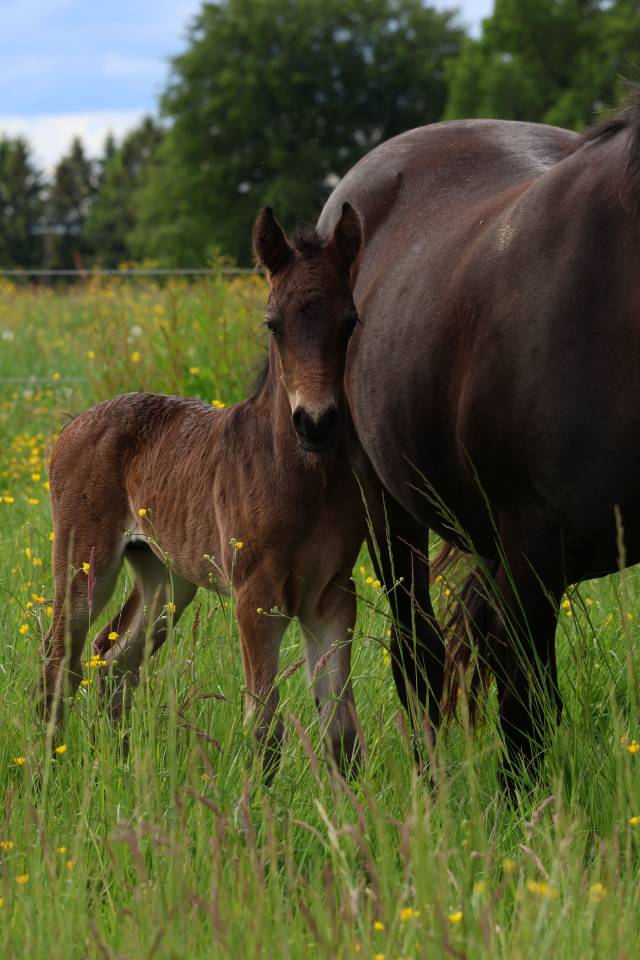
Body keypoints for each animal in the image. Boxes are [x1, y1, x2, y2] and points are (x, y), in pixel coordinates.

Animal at [39, 203, 365, 779]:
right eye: (272, 324)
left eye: (349, 322)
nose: (316, 423)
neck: (304, 476)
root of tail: (75, 422)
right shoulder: (256, 595)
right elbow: (264, 727)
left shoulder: (332, 595)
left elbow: (341, 731)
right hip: (84, 562)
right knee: (61, 660)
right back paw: (49, 774)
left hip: (166, 575)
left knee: (114, 661)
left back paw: (127, 770)